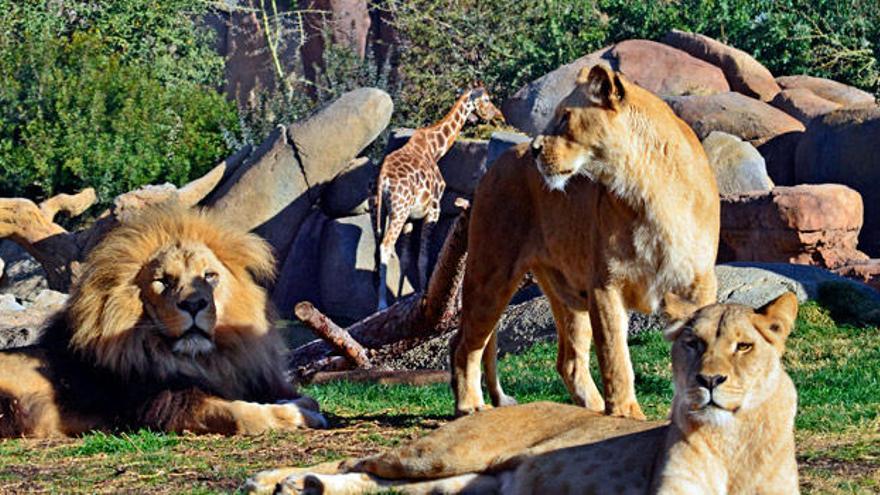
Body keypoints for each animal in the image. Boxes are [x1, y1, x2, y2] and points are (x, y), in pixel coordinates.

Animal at [0, 205, 326, 438]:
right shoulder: (162, 407)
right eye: (164, 281)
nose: (193, 304)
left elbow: (295, 398)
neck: (205, 360)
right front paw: (295, 415)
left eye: (209, 276)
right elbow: (240, 414)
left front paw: (300, 404)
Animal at [246, 294, 796, 495]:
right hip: (446, 452)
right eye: (693, 343)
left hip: (470, 484)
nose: (709, 381)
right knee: (357, 461)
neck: (731, 438)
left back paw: (306, 486)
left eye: (743, 346)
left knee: (382, 485)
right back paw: (275, 479)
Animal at [374, 85, 506, 310]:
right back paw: (381, 304)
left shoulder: (411, 217)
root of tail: (383, 179)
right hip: (398, 209)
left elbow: (407, 259)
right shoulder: (434, 208)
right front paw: (423, 294)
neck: (435, 149)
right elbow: (424, 257)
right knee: (386, 245)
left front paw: (401, 299)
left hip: (383, 210)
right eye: (487, 99)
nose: (500, 116)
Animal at [450, 64, 720, 416]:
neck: (648, 188)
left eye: (565, 117)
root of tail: (499, 160)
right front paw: (625, 414)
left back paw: (591, 408)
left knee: (569, 361)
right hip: (491, 273)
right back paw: (469, 405)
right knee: (466, 343)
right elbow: (616, 358)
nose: (534, 150)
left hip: (567, 292)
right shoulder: (606, 285)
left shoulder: (697, 287)